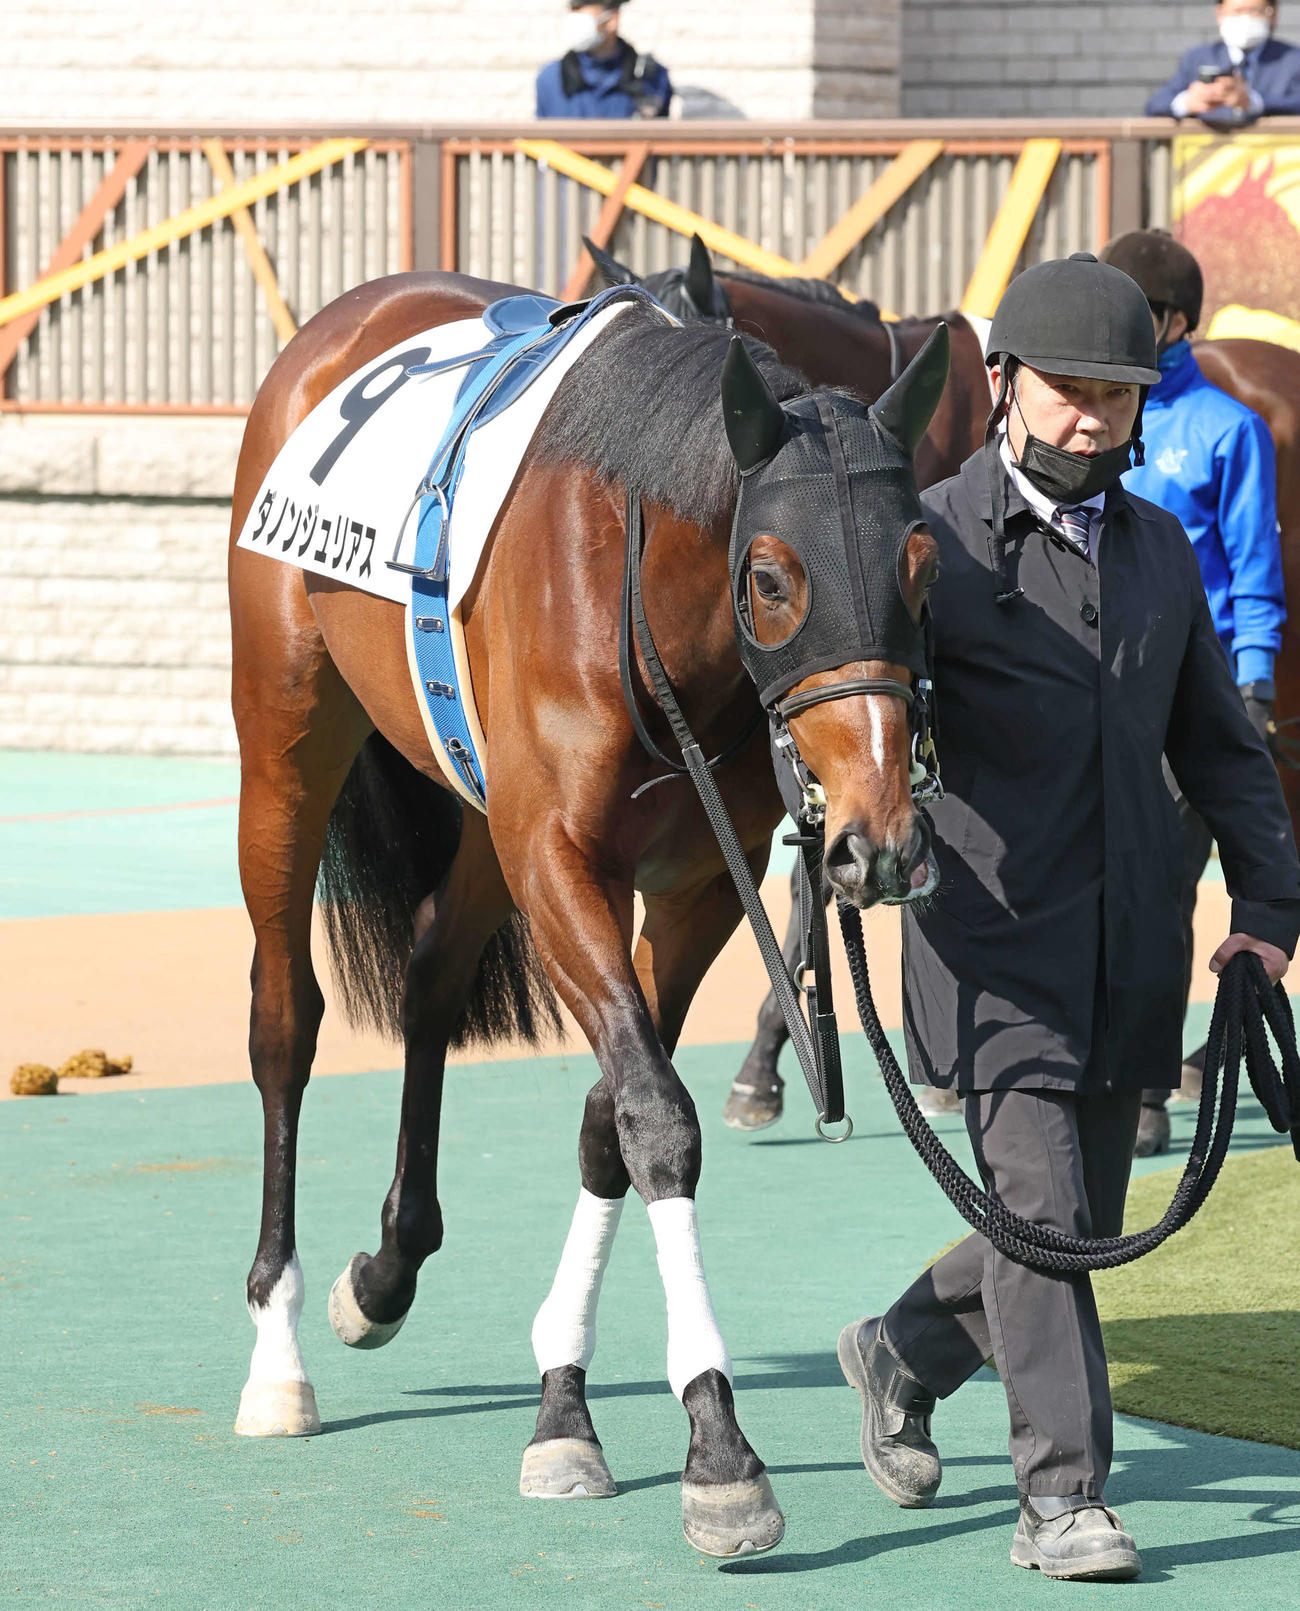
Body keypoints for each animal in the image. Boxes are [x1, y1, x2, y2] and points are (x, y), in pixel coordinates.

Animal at [226, 267, 949, 1557]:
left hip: (477, 804)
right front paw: (719, 1447)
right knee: (284, 1022)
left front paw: (564, 1408)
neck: (649, 588)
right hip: (285, 738)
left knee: (430, 974)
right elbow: (656, 1118)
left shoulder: (696, 881)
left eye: (922, 566)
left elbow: (612, 1120)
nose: (880, 840)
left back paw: (386, 1272)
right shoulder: (561, 857)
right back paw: (279, 1348)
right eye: (772, 577)